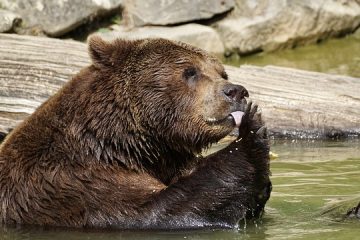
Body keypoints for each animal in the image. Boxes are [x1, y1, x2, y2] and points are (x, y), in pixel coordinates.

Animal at [0, 36, 270, 230]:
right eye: (190, 72)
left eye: (222, 72)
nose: (236, 91)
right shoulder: (70, 184)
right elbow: (154, 212)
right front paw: (252, 133)